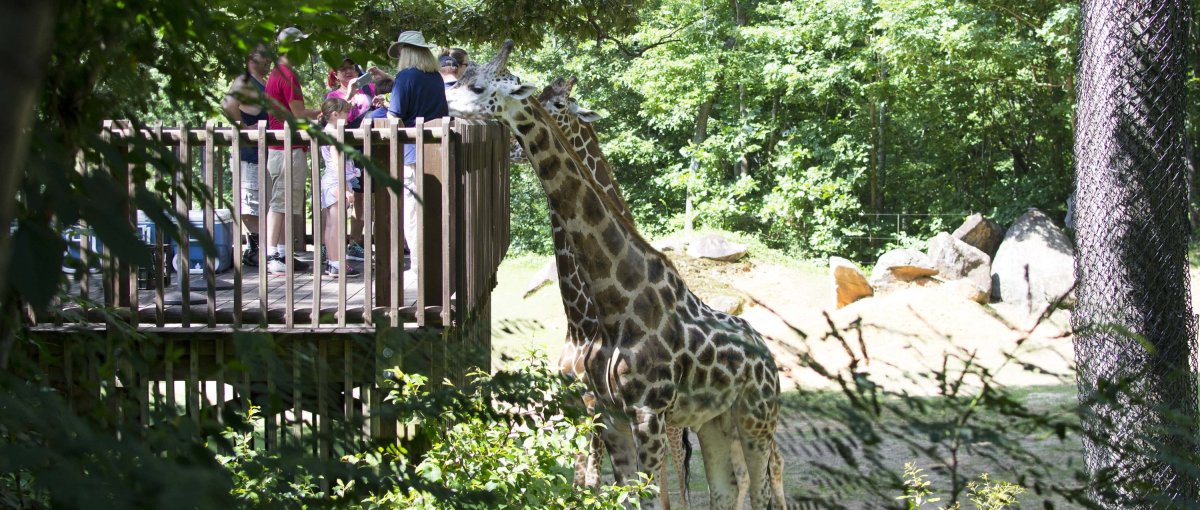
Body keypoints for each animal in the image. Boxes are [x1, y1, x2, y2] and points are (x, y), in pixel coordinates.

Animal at [446, 40, 782, 508]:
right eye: (461, 77)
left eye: (479, 86)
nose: (441, 105)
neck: (608, 305)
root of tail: (767, 354)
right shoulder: (609, 416)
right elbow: (611, 490)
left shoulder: (648, 413)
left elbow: (639, 490)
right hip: (714, 421)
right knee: (725, 489)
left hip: (755, 418)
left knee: (762, 485)